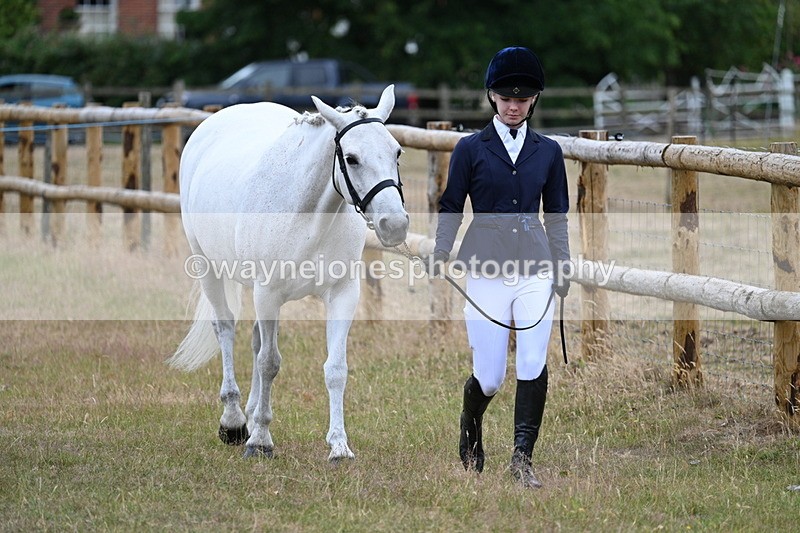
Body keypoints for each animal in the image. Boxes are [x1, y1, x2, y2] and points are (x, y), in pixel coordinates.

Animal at [168, 85, 409, 461]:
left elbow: (335, 369)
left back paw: (251, 414)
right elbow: (269, 363)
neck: (308, 216)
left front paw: (339, 446)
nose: (394, 225)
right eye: (352, 158)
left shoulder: (342, 294)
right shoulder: (268, 294)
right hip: (208, 266)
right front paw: (260, 442)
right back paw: (234, 421)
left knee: (254, 340)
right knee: (226, 329)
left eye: (396, 152)